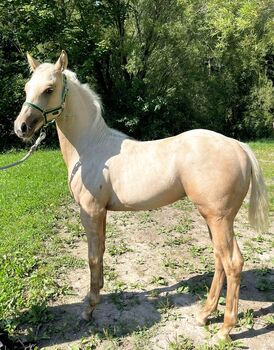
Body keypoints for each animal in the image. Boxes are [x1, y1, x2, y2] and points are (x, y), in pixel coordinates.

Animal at [13, 50, 268, 340]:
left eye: (49, 89)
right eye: (27, 88)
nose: (21, 127)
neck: (91, 147)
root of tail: (238, 146)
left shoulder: (90, 212)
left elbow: (92, 258)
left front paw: (89, 309)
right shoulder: (100, 214)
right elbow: (100, 253)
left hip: (219, 219)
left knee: (233, 263)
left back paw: (225, 329)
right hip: (213, 219)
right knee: (219, 260)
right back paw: (204, 315)